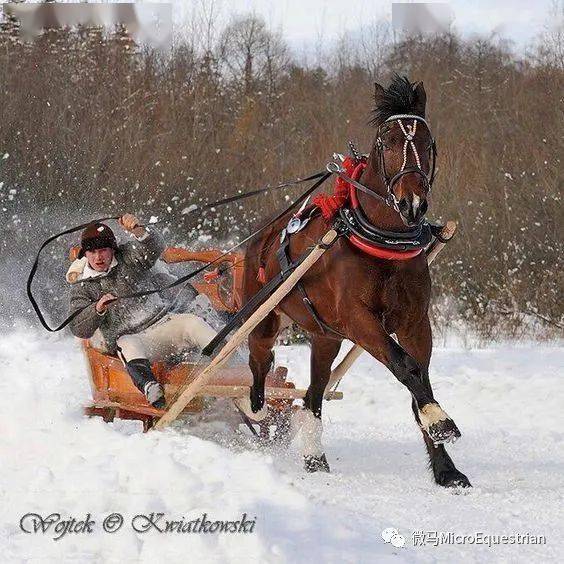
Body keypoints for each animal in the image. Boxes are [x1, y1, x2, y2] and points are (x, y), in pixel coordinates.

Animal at [242, 76, 472, 490]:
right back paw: (256, 406)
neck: (384, 242)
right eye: (388, 141)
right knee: (260, 359)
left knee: (313, 395)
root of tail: (261, 237)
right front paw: (441, 420)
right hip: (265, 317)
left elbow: (420, 379)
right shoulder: (359, 320)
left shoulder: (415, 322)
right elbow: (406, 367)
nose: (413, 203)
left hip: (326, 337)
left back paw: (314, 457)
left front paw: (446, 467)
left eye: (427, 142)